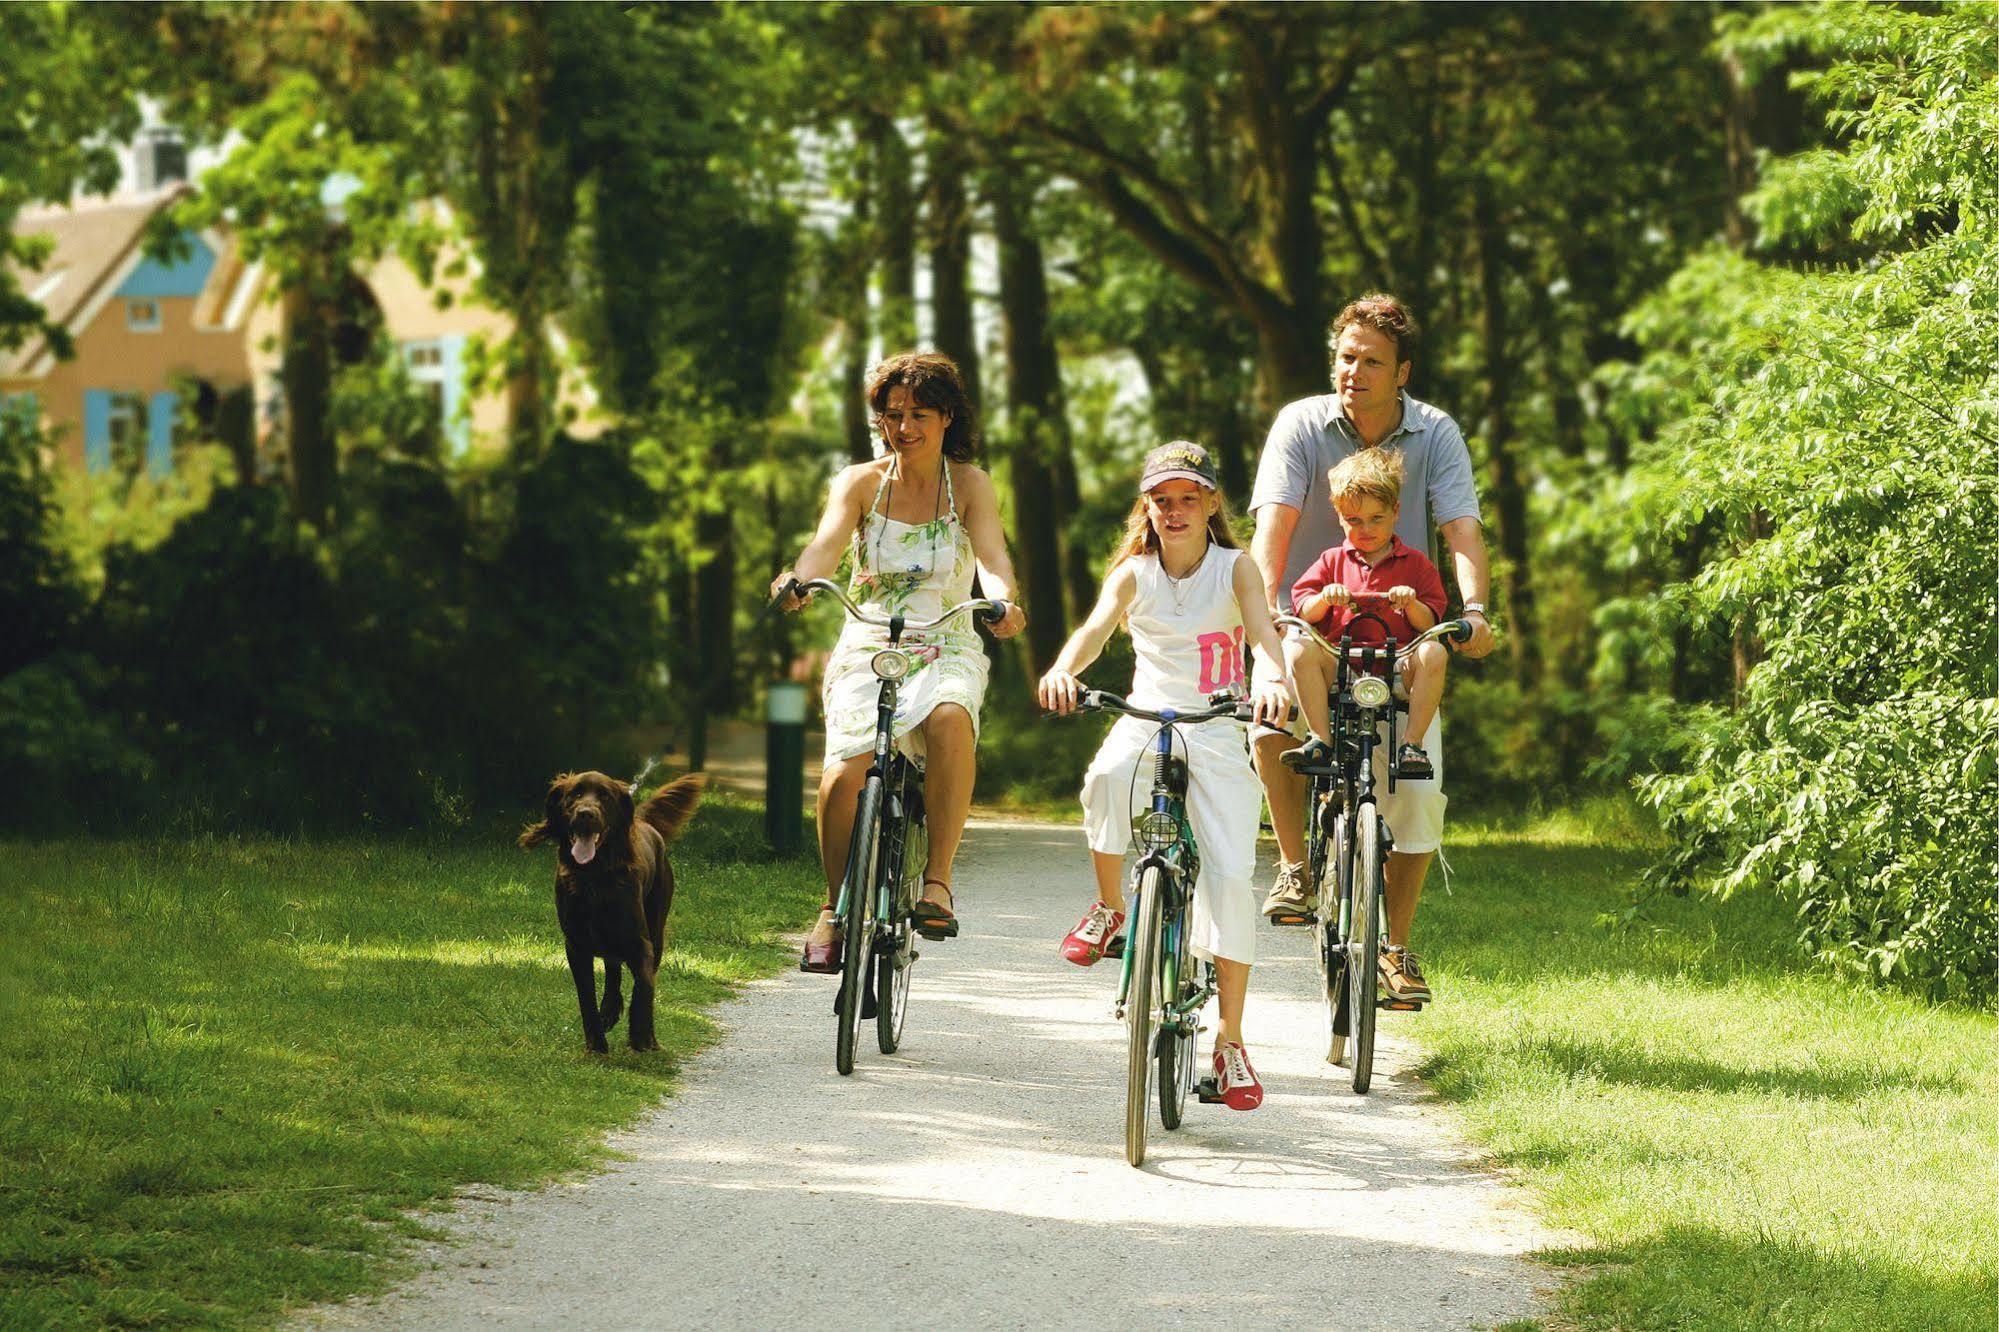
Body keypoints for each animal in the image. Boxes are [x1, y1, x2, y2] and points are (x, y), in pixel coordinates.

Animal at [519, 768, 707, 1048]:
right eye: (575, 794)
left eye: (605, 796)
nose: (586, 813)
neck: (593, 877)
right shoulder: (576, 946)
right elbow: (586, 999)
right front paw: (596, 1045)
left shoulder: (641, 943)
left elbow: (643, 989)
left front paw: (642, 1036)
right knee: (612, 968)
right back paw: (608, 1010)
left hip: (657, 927)